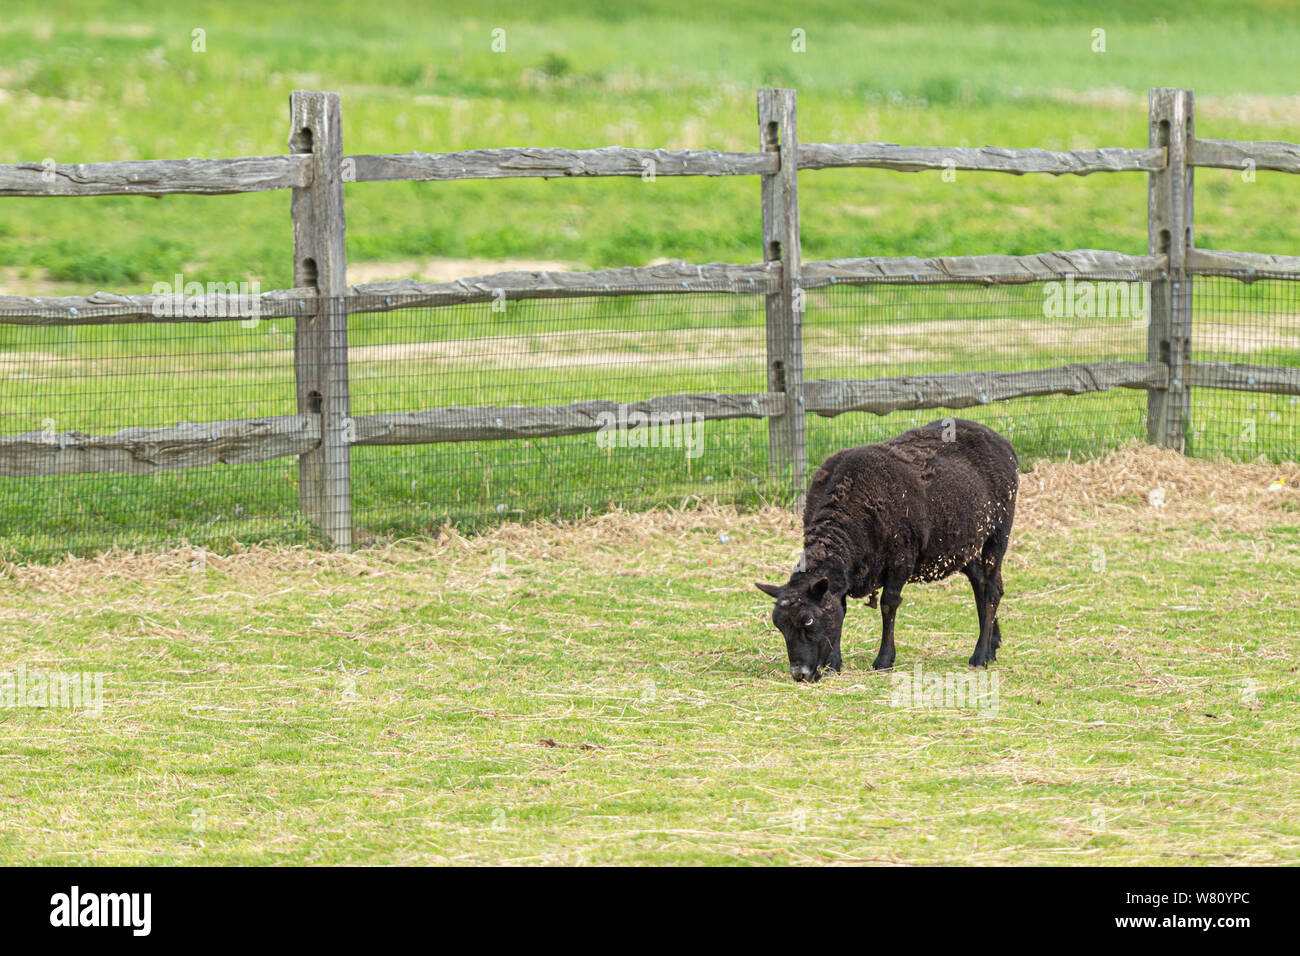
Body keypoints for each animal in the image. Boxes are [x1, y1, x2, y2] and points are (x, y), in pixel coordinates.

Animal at [756, 417, 1018, 682]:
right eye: (780, 626)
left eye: (808, 621)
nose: (799, 674)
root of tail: (999, 438)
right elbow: (840, 608)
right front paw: (833, 665)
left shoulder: (901, 558)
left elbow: (888, 604)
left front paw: (883, 660)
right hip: (962, 543)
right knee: (981, 585)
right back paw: (993, 645)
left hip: (999, 531)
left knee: (992, 591)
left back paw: (980, 656)